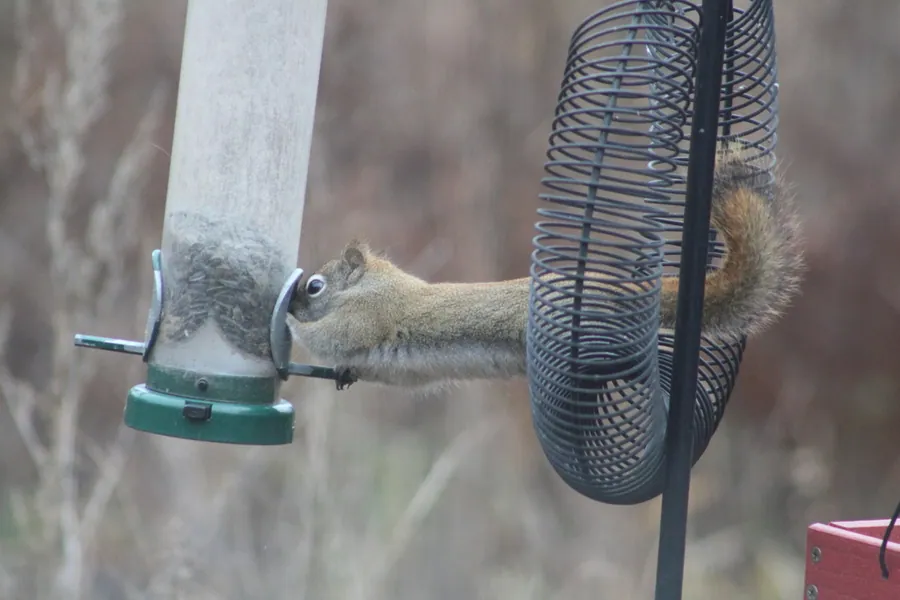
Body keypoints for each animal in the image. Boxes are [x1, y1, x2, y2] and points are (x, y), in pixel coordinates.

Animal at [288, 141, 803, 390]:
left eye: (314, 286)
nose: (292, 303)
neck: (371, 283)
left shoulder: (368, 316)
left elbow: (333, 337)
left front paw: (289, 327)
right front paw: (343, 373)